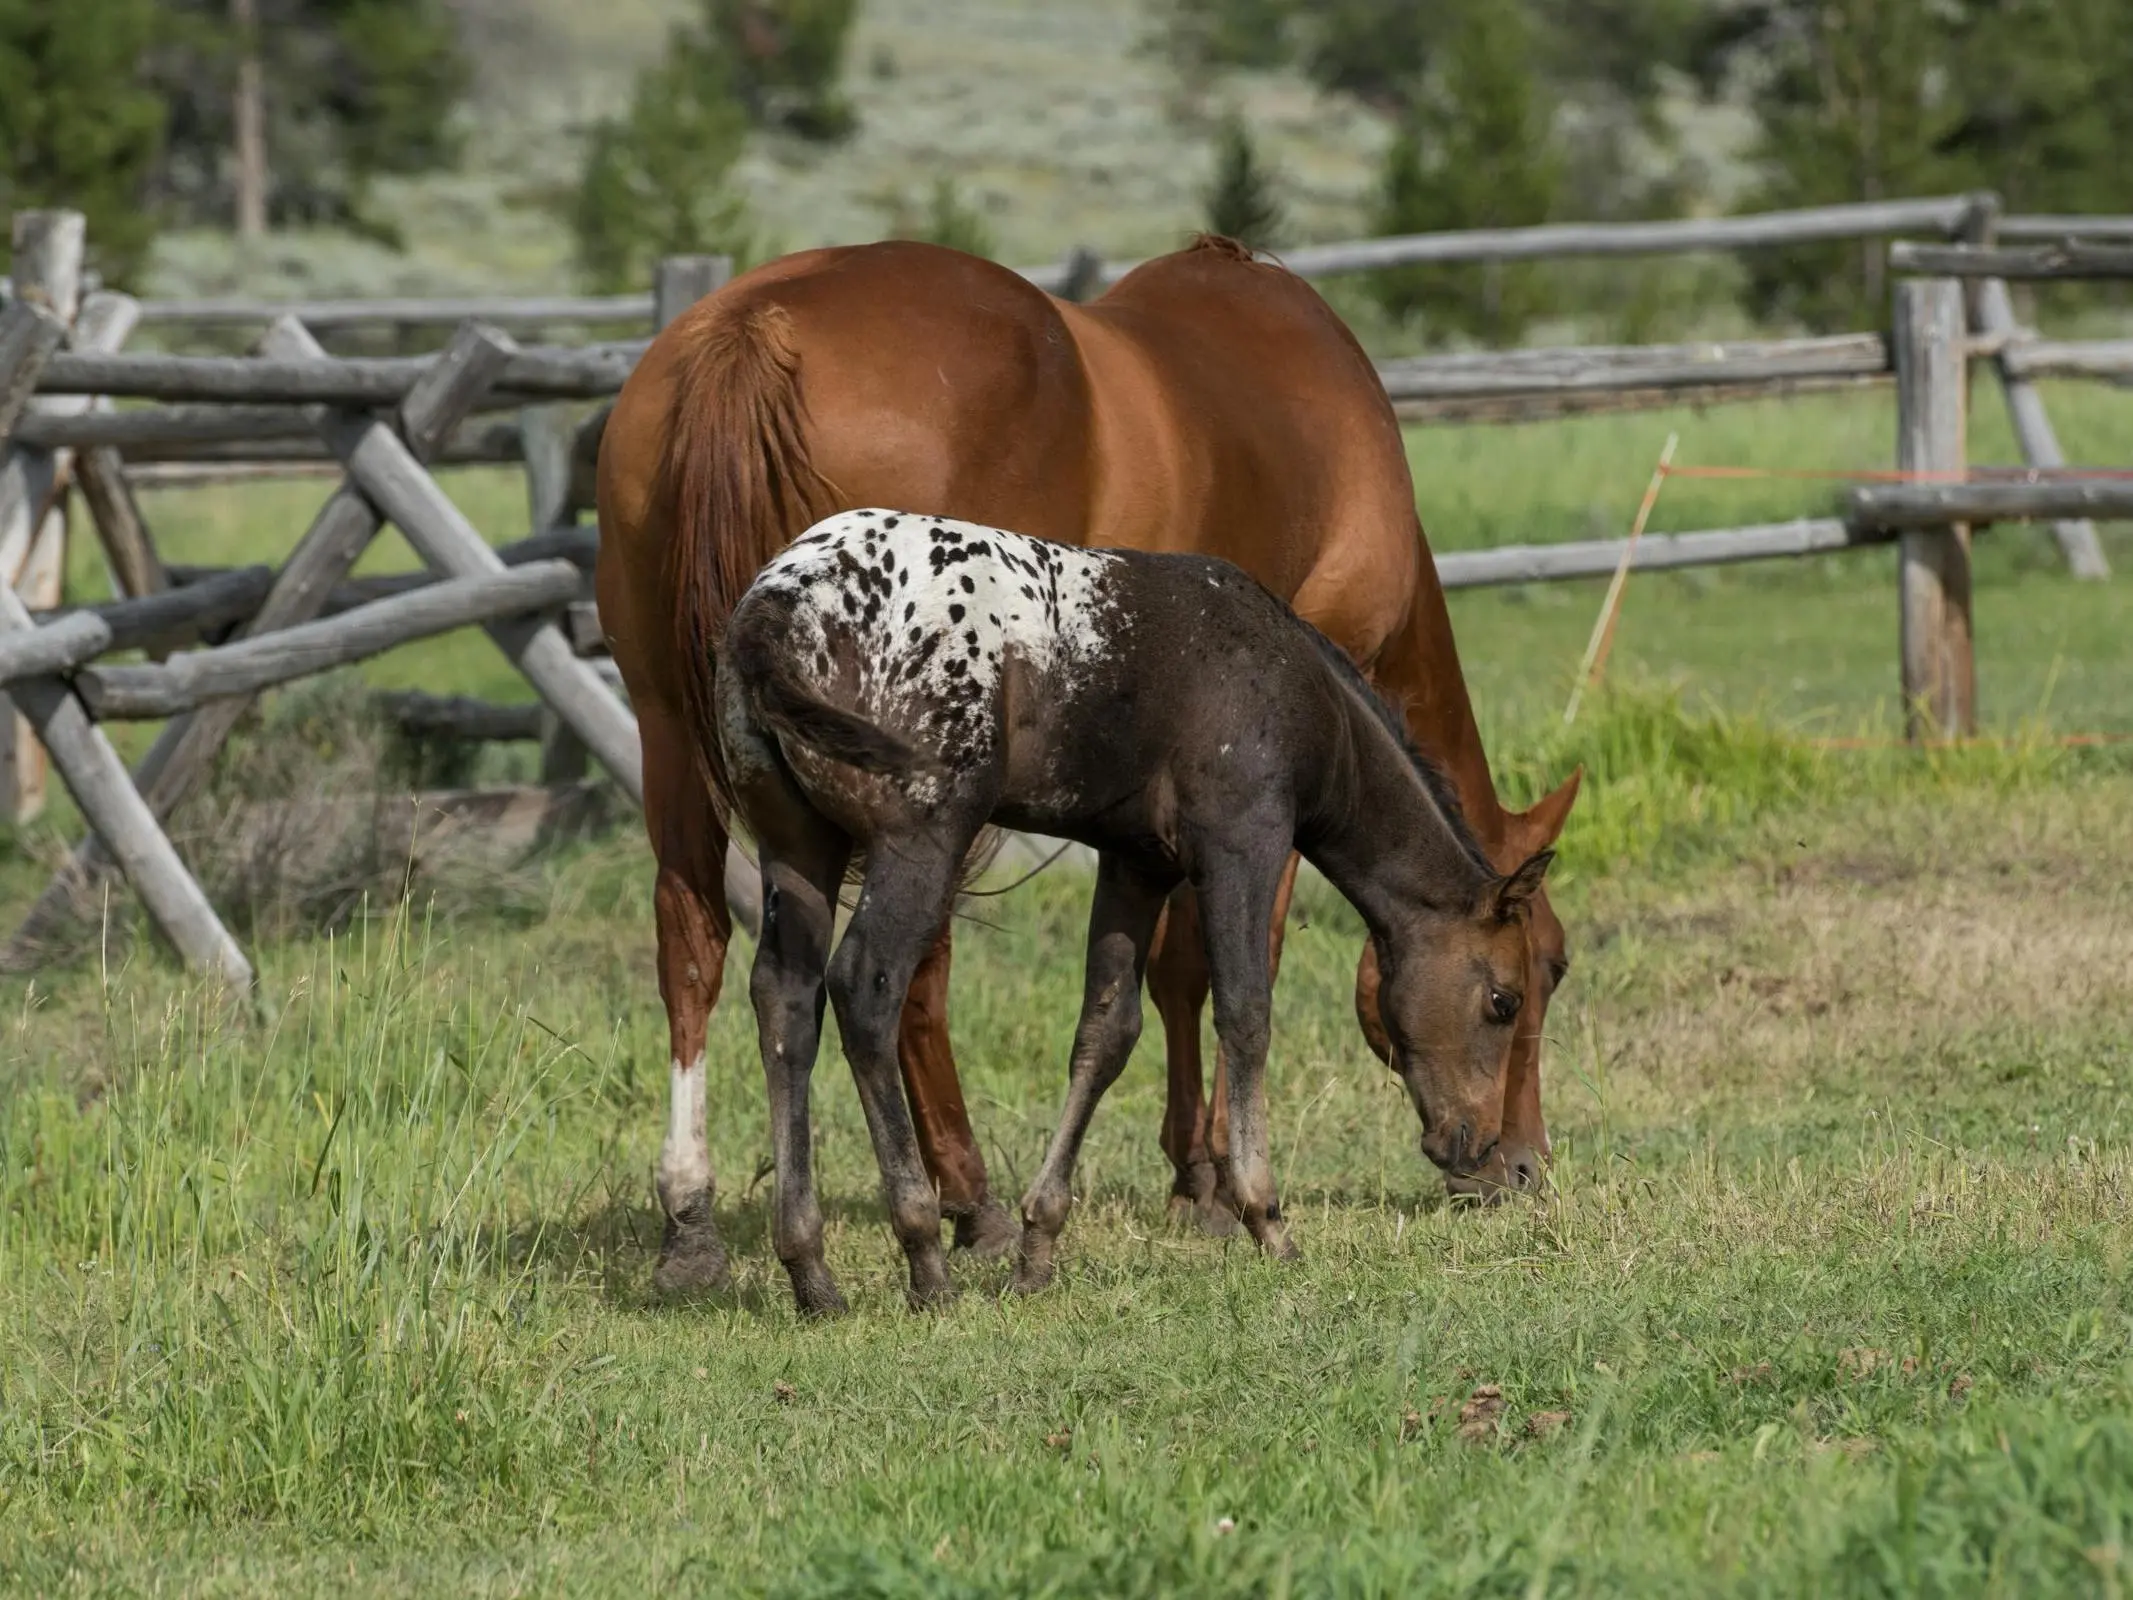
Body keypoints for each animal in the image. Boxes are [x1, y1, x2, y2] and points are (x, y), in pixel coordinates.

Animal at [716, 509, 1552, 1314]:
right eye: (1503, 1001)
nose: (1478, 1149)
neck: (1299, 691)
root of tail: (776, 607)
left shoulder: (1134, 862)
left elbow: (1105, 1032)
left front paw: (1038, 1247)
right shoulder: (1242, 842)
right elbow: (1245, 1015)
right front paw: (1265, 1219)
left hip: (799, 848)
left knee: (785, 1001)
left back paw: (811, 1273)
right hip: (922, 839)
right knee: (863, 988)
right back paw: (925, 1258)